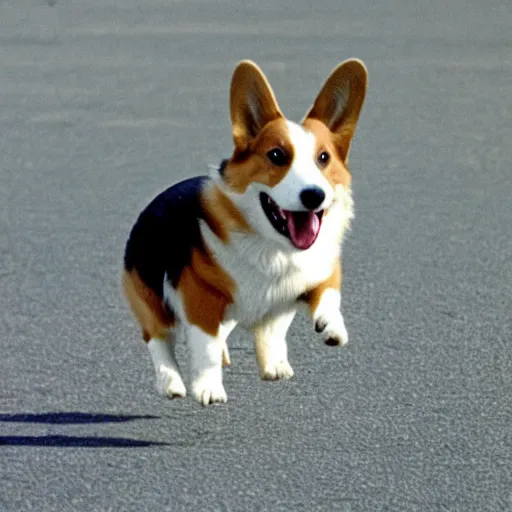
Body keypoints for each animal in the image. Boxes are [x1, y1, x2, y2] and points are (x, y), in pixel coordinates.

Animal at [123, 58, 368, 406]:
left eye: (324, 158)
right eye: (277, 155)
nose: (314, 195)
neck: (274, 249)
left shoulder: (320, 272)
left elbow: (328, 295)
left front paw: (332, 328)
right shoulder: (200, 298)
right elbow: (206, 348)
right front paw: (209, 389)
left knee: (268, 329)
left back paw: (274, 365)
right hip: (149, 298)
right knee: (159, 339)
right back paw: (171, 383)